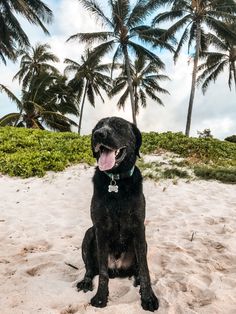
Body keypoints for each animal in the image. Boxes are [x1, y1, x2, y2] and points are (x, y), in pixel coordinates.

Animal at [77, 117, 159, 312]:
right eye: (98, 126)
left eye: (119, 125)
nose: (98, 134)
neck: (116, 181)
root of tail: (118, 269)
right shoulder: (99, 228)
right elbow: (103, 273)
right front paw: (101, 297)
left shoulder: (139, 228)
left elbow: (145, 269)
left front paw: (148, 298)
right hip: (89, 233)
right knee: (91, 269)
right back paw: (86, 281)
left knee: (138, 269)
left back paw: (137, 280)